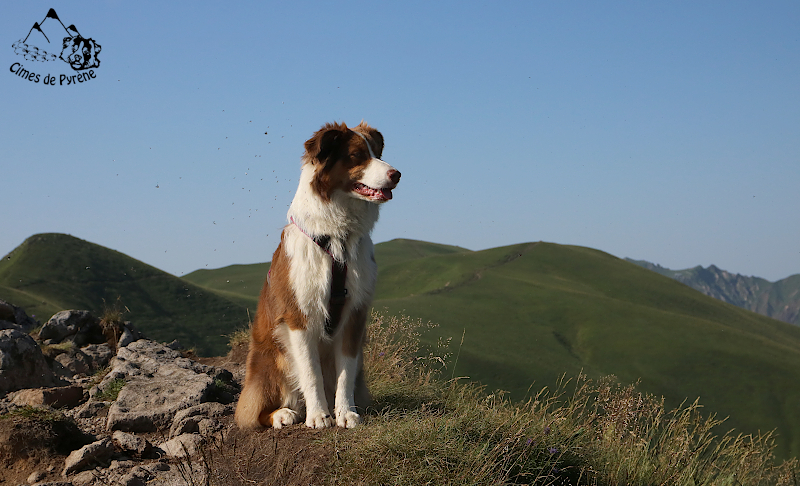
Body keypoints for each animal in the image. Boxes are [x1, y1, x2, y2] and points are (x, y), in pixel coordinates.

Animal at [235, 121, 401, 429]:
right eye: (357, 155)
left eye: (377, 152)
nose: (396, 174)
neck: (337, 237)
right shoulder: (298, 316)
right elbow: (311, 373)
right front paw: (318, 415)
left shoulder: (354, 313)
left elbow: (344, 372)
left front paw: (345, 413)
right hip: (272, 359)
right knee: (253, 411)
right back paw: (285, 413)